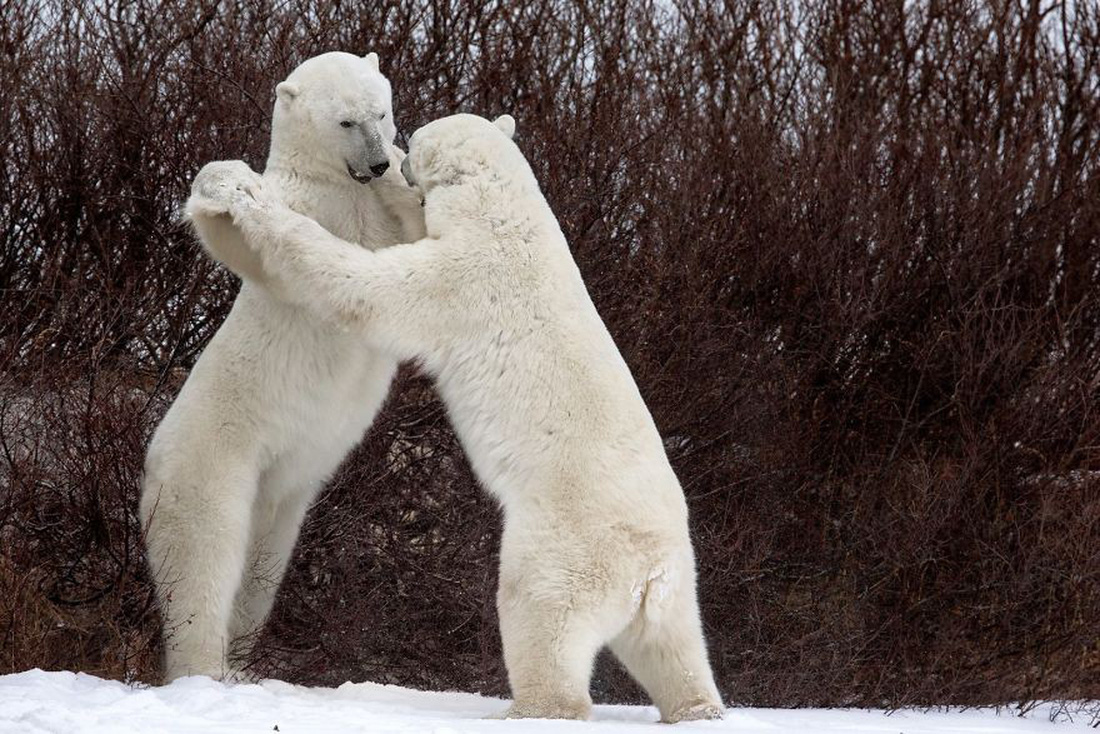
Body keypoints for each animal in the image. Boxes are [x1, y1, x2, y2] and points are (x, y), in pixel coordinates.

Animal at [139, 53, 422, 682]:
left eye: (381, 112)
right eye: (345, 121)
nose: (377, 162)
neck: (341, 186)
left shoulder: (375, 213)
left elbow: (417, 237)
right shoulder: (306, 206)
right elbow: (246, 239)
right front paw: (229, 184)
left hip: (285, 496)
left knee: (262, 571)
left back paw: (244, 661)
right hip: (211, 464)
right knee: (203, 561)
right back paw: (204, 668)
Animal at [185, 114, 726, 721]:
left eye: (416, 140)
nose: (395, 159)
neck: (507, 215)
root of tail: (647, 570)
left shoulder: (463, 278)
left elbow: (366, 287)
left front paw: (249, 199)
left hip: (564, 547)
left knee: (539, 613)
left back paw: (527, 707)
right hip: (678, 585)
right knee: (674, 648)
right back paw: (698, 707)